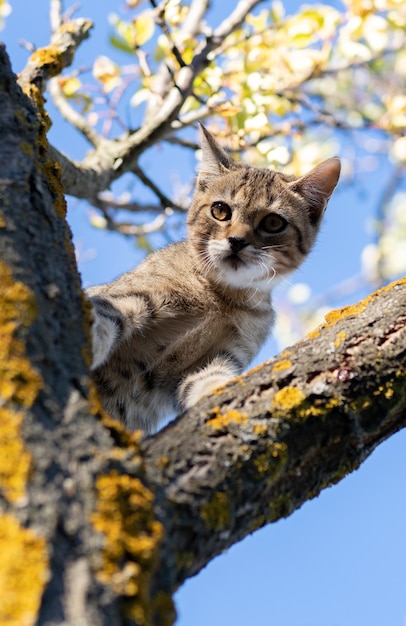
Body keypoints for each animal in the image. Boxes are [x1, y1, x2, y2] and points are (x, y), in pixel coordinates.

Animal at [87, 124, 340, 432]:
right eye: (220, 210)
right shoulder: (138, 295)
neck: (222, 298)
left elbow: (212, 383)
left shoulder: (216, 358)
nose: (237, 240)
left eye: (273, 222)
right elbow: (104, 312)